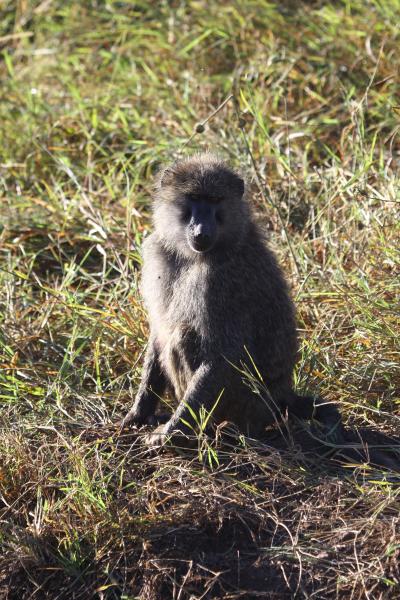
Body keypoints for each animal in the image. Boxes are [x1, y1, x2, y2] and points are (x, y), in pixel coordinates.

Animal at [122, 153, 344, 448]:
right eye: (195, 198)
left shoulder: (219, 283)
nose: (201, 231)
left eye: (216, 200)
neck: (193, 256)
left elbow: (223, 354)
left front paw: (170, 431)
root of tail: (282, 396)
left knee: (183, 336)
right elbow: (158, 334)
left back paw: (220, 429)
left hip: (247, 403)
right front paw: (139, 412)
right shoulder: (158, 252)